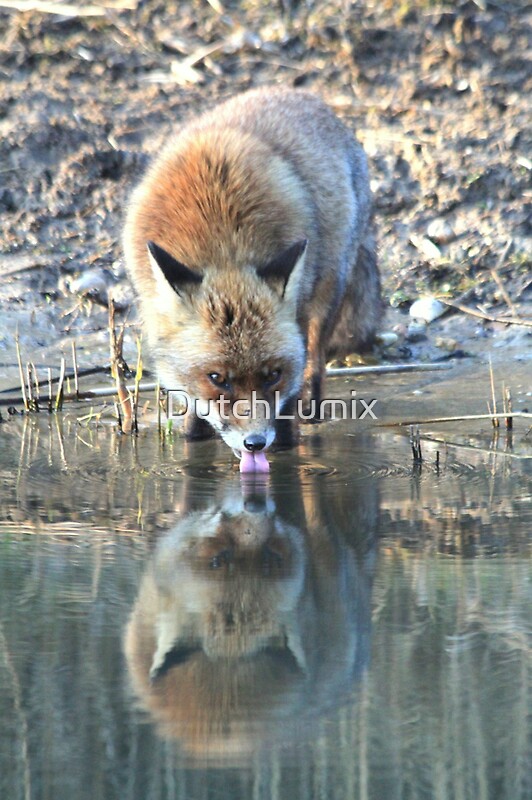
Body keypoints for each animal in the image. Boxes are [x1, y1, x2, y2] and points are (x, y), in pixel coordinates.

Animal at [123, 88, 382, 472]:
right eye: (217, 378)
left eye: (272, 374)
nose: (256, 443)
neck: (221, 245)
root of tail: (301, 94)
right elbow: (192, 409)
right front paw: (192, 439)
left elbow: (290, 399)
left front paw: (288, 446)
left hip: (327, 290)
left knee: (315, 363)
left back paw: (312, 410)